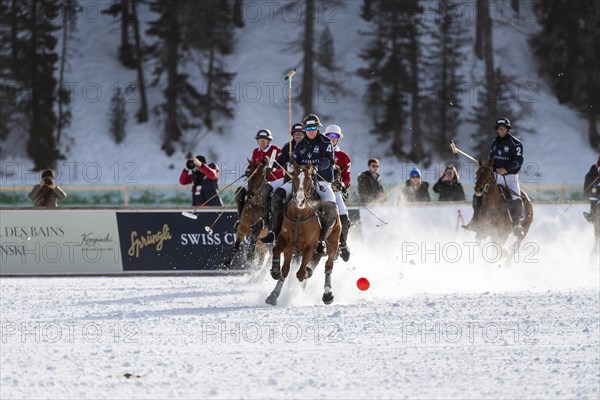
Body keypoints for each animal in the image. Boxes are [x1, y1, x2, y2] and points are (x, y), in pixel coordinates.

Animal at [264, 162, 340, 306]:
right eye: (294, 177)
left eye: (310, 179)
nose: (300, 200)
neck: (299, 214)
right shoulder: (287, 242)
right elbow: (283, 267)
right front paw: (274, 286)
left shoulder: (310, 247)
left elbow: (300, 273)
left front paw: (305, 273)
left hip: (333, 242)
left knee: (328, 265)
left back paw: (327, 294)